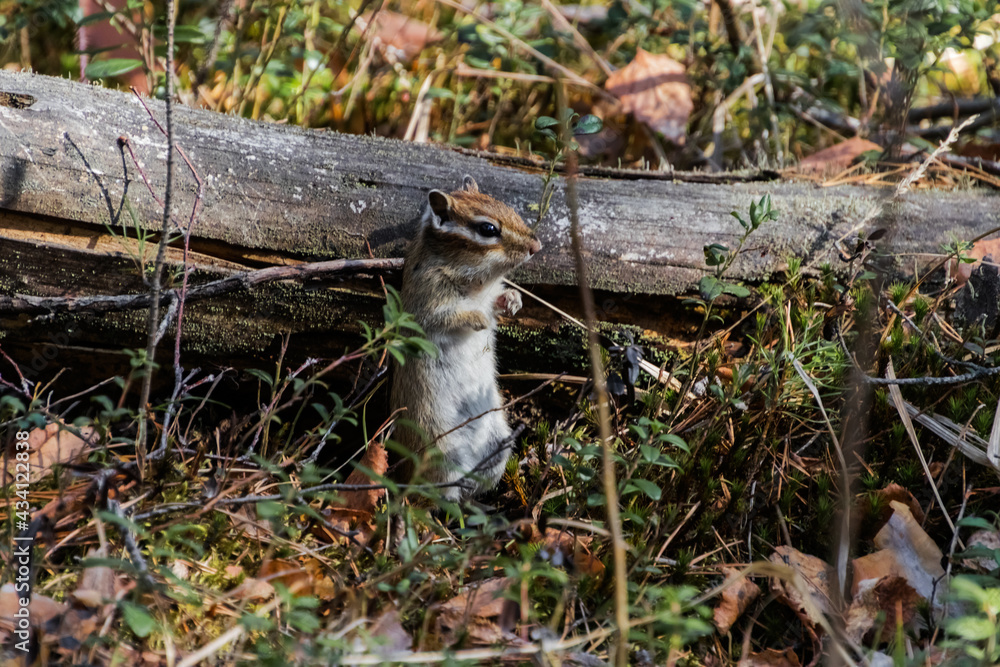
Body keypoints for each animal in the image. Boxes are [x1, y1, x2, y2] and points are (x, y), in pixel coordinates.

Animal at [390, 175, 541, 501]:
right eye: (488, 229)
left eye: (508, 207)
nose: (537, 246)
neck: (477, 284)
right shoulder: (429, 304)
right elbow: (453, 316)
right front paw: (479, 319)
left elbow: (499, 301)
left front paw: (513, 301)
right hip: (441, 450)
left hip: (498, 446)